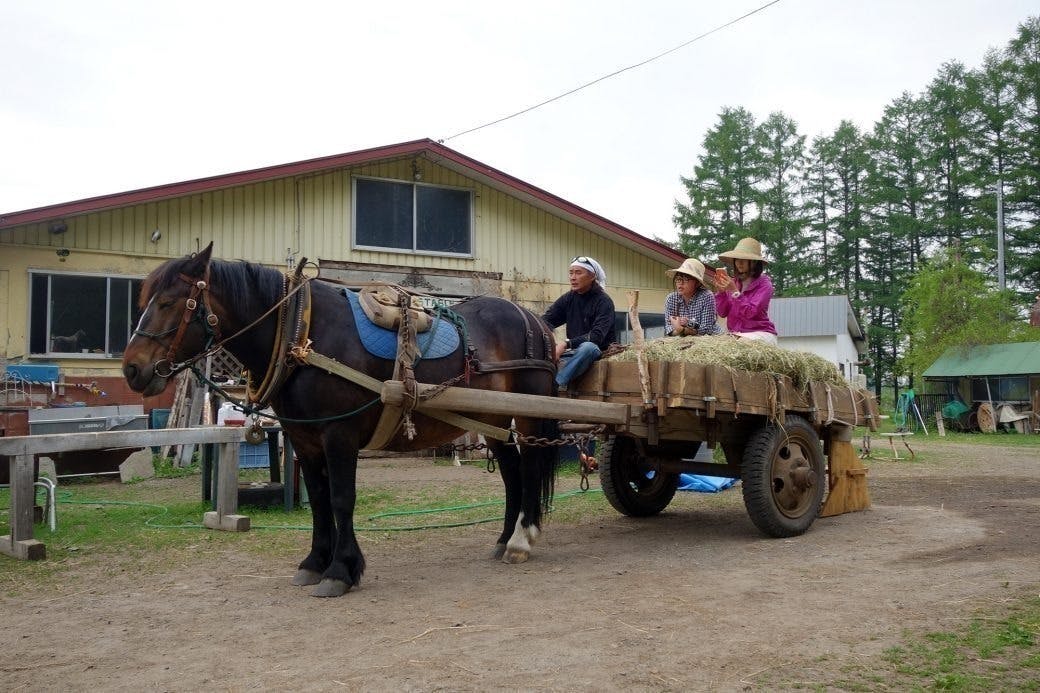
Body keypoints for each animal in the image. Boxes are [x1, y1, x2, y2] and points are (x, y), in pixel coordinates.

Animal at [123, 242, 561, 595]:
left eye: (169, 303)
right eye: (145, 300)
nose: (131, 369)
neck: (300, 333)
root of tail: (532, 319)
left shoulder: (339, 434)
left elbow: (341, 498)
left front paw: (340, 570)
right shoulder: (304, 439)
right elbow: (318, 499)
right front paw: (315, 563)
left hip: (528, 415)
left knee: (531, 466)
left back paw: (522, 539)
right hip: (492, 417)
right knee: (511, 473)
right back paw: (505, 538)